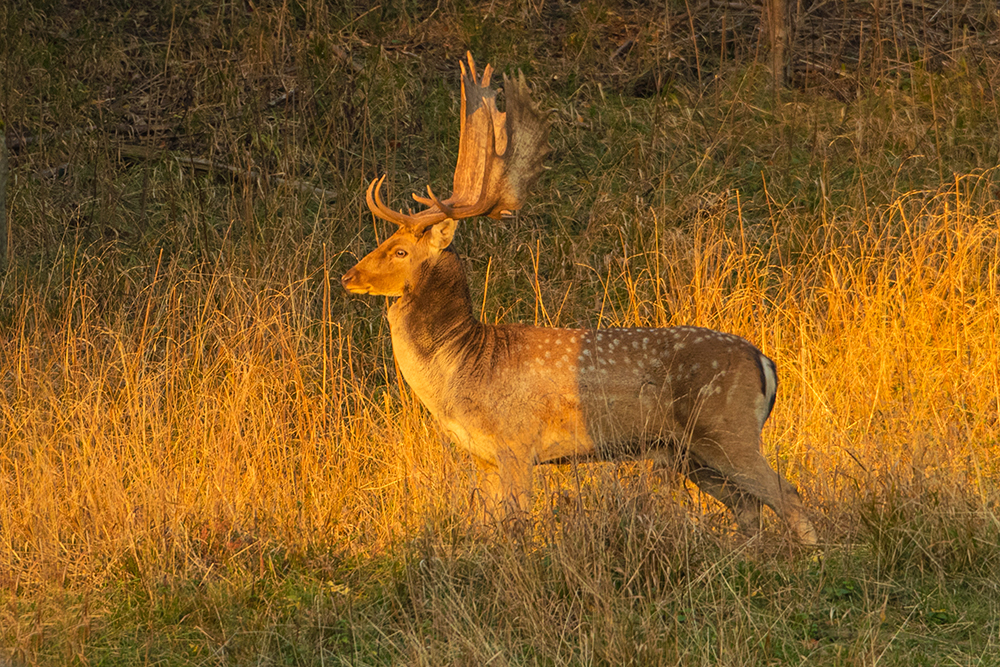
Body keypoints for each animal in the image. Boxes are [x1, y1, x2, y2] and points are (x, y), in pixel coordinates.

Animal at [344, 51, 820, 544]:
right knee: (749, 505)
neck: (465, 365)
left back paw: (815, 554)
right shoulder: (484, 457)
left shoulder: (518, 443)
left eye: (400, 250)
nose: (349, 275)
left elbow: (518, 522)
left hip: (728, 429)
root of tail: (764, 362)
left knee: (787, 493)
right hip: (691, 452)